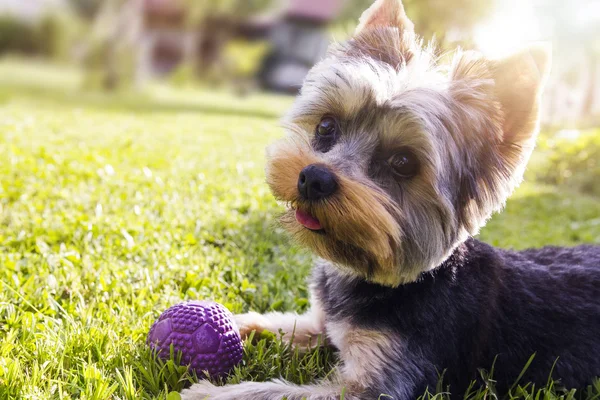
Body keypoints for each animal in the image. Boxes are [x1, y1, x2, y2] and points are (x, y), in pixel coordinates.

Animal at [182, 0, 600, 398]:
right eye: (326, 126)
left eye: (402, 163)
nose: (314, 178)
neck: (387, 279)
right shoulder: (324, 323)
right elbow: (284, 323)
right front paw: (231, 320)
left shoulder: (388, 378)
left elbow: (277, 392)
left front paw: (207, 392)